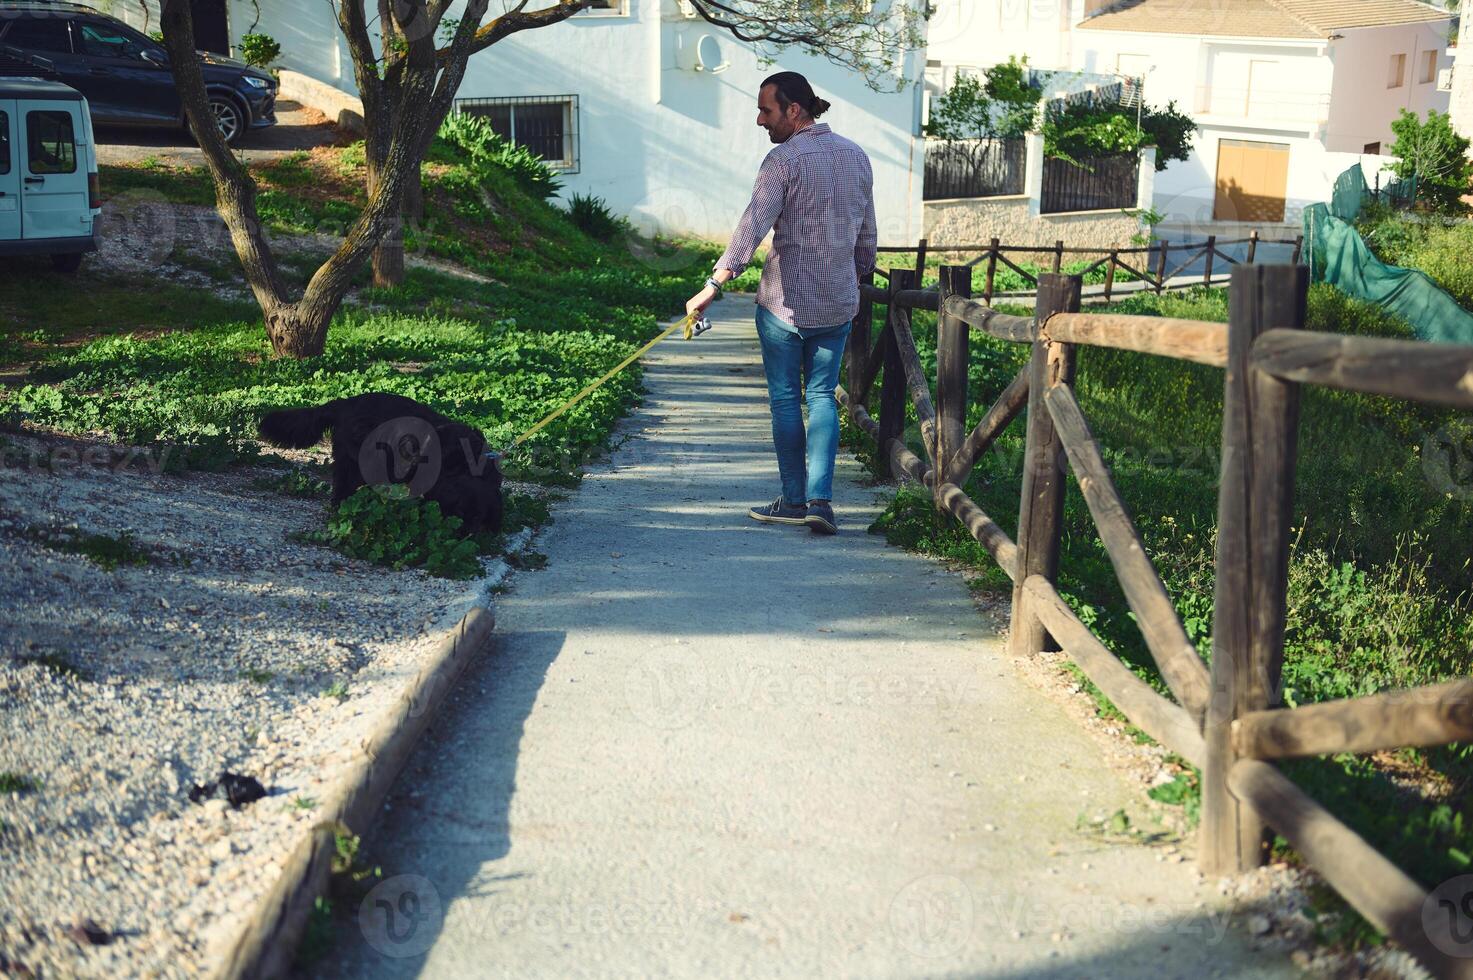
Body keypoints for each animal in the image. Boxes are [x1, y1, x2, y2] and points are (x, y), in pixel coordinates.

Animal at [256, 389, 503, 530]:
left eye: (478, 518)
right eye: (459, 512)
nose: (463, 534)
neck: (464, 464)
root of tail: (345, 402)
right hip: (357, 460)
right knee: (343, 488)